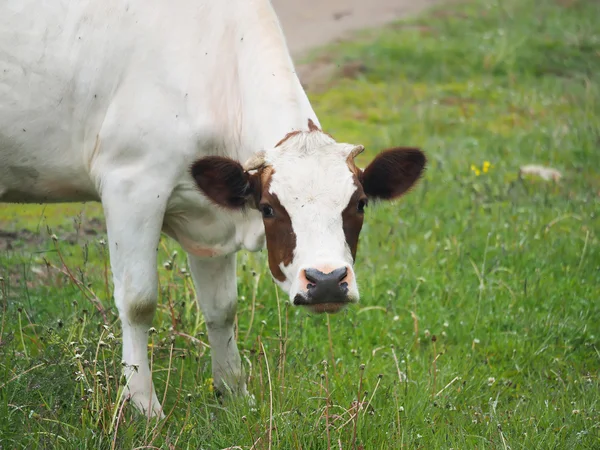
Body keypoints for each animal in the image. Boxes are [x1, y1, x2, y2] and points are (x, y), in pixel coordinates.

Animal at [0, 0, 426, 416]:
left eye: (360, 203)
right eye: (269, 208)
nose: (325, 281)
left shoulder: (209, 219)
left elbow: (222, 307)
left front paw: (234, 393)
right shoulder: (131, 184)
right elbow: (138, 301)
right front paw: (144, 405)